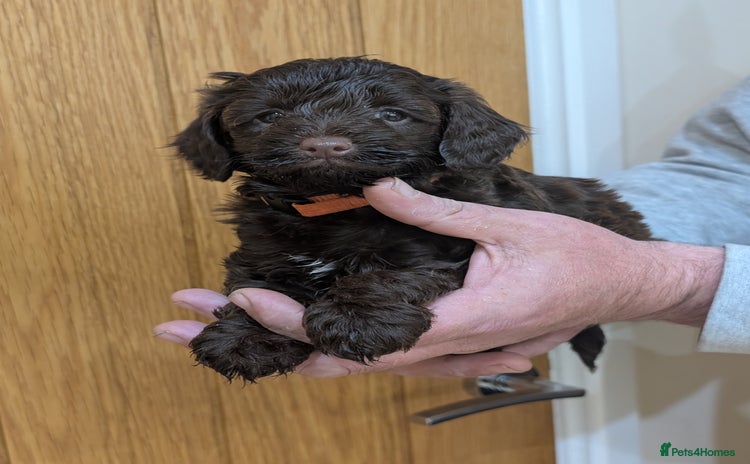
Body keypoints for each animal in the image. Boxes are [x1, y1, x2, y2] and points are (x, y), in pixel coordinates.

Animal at [174, 57, 652, 382]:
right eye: (270, 116)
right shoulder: (262, 251)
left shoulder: (444, 248)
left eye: (391, 114)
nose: (325, 145)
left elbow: (388, 274)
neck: (337, 205)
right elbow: (257, 286)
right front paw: (244, 338)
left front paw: (356, 319)